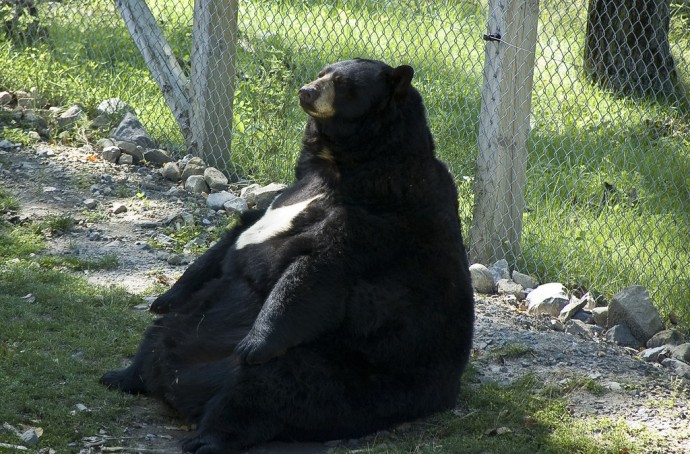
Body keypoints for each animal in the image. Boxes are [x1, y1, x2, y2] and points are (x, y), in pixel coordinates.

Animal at [101, 58, 472, 452]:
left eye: (343, 84)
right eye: (324, 71)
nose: (307, 91)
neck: (342, 168)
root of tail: (179, 390)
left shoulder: (382, 221)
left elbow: (315, 271)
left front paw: (253, 343)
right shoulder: (288, 193)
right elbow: (231, 240)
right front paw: (164, 297)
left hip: (341, 372)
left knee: (263, 392)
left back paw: (206, 436)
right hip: (190, 321)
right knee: (157, 338)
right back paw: (122, 375)